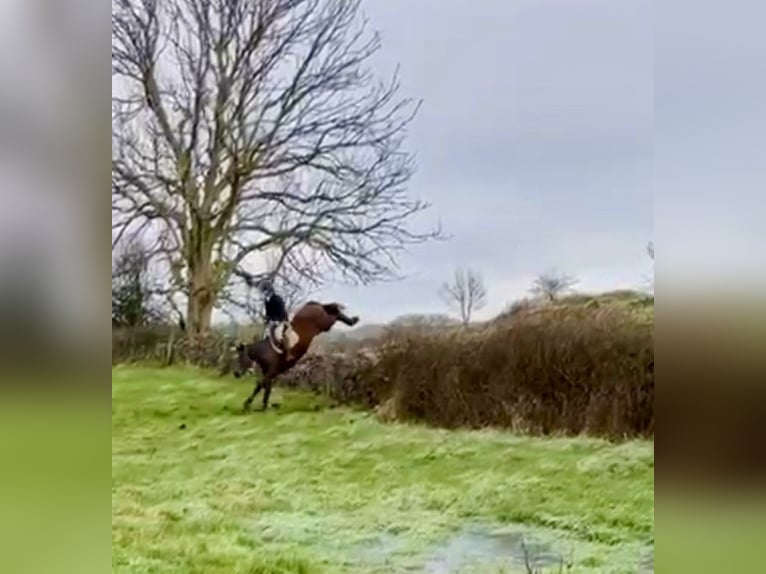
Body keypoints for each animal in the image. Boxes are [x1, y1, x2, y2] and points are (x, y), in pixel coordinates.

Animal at [231, 302, 360, 414]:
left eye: (241, 358)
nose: (236, 374)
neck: (266, 351)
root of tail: (313, 306)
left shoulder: (271, 372)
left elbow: (259, 386)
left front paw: (247, 404)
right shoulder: (270, 373)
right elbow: (266, 389)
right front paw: (264, 407)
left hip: (324, 322)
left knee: (334, 314)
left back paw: (352, 320)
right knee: (330, 310)